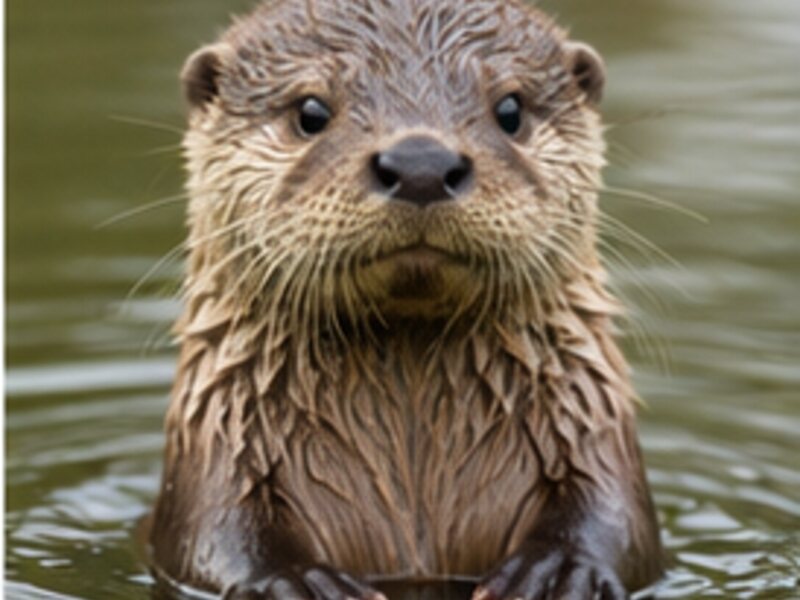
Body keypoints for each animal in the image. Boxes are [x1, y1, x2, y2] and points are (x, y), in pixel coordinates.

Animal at [149, 0, 664, 598]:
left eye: (510, 109)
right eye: (310, 111)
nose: (422, 163)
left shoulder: (593, 440)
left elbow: (617, 522)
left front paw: (559, 568)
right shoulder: (216, 464)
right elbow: (216, 538)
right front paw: (297, 581)